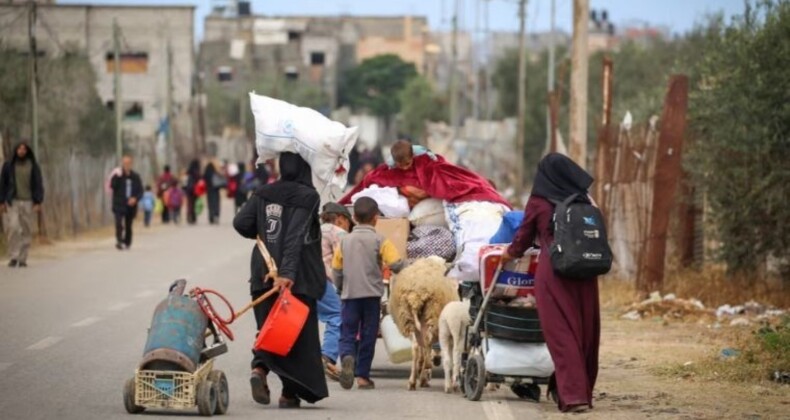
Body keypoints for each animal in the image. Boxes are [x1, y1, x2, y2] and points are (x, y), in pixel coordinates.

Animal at [388, 256, 460, 390]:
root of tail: (415, 296)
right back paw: (426, 368)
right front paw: (424, 373)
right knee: (427, 341)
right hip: (432, 315)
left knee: (416, 346)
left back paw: (412, 381)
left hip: (408, 319)